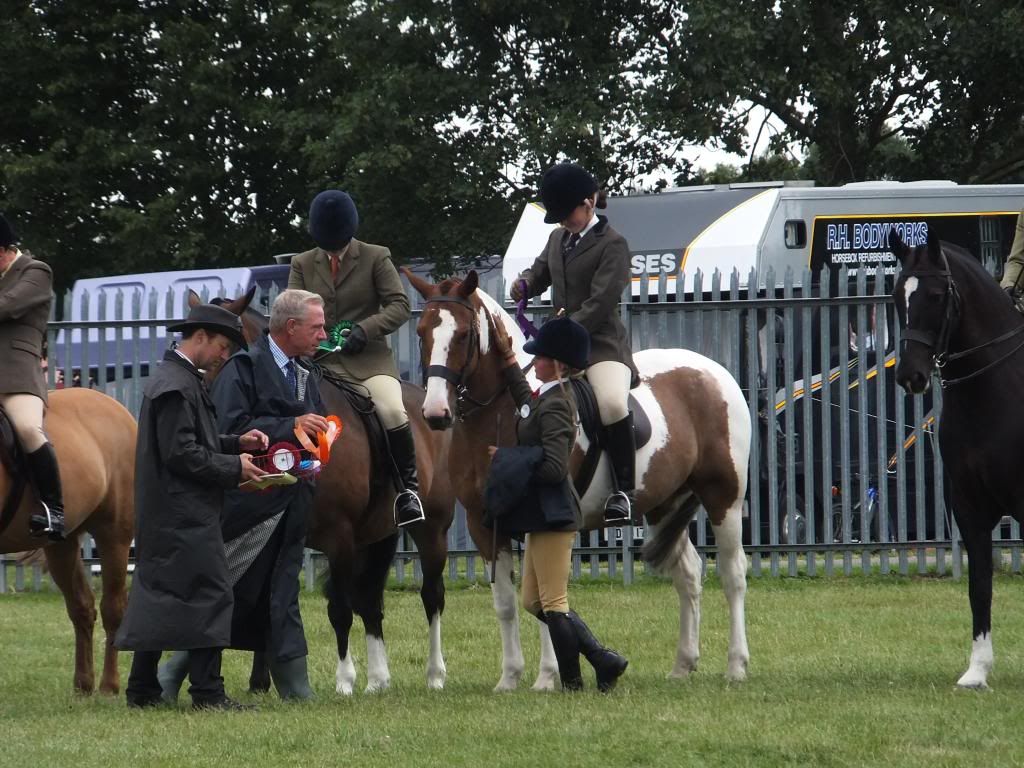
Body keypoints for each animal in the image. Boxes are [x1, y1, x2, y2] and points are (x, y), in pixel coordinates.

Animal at [0, 387, 135, 694]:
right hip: (63, 544)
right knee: (81, 607)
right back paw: (83, 686)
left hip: (114, 536)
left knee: (113, 608)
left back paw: (108, 687)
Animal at [197, 289, 455, 693]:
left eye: (222, 351)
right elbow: (270, 600)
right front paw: (261, 681)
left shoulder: (340, 536)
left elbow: (339, 608)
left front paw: (344, 680)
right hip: (378, 534)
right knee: (371, 600)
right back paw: (378, 680)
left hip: (431, 530)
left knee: (431, 596)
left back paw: (434, 674)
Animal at [403, 269, 751, 689]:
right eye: (421, 331)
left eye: (463, 335)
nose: (436, 413)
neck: (506, 411)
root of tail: (713, 371)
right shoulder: (483, 525)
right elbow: (508, 602)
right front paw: (510, 678)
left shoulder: (540, 523)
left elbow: (546, 598)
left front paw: (546, 677)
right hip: (663, 505)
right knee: (688, 574)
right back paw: (683, 665)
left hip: (724, 497)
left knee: (733, 573)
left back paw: (736, 666)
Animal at [891, 228, 1024, 689]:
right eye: (897, 295)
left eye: (935, 295)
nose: (910, 375)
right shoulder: (969, 507)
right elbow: (979, 586)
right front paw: (976, 671)